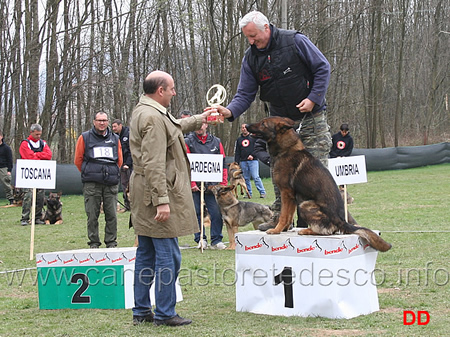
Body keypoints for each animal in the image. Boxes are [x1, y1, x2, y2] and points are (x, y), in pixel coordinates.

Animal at [246, 117, 390, 251]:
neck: (287, 149)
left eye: (263, 124)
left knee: (326, 230)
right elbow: (289, 216)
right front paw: (284, 229)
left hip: (304, 205)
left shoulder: (285, 192)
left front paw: (276, 230)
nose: (246, 126)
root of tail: (341, 220)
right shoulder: (291, 197)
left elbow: (283, 215)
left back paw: (307, 230)